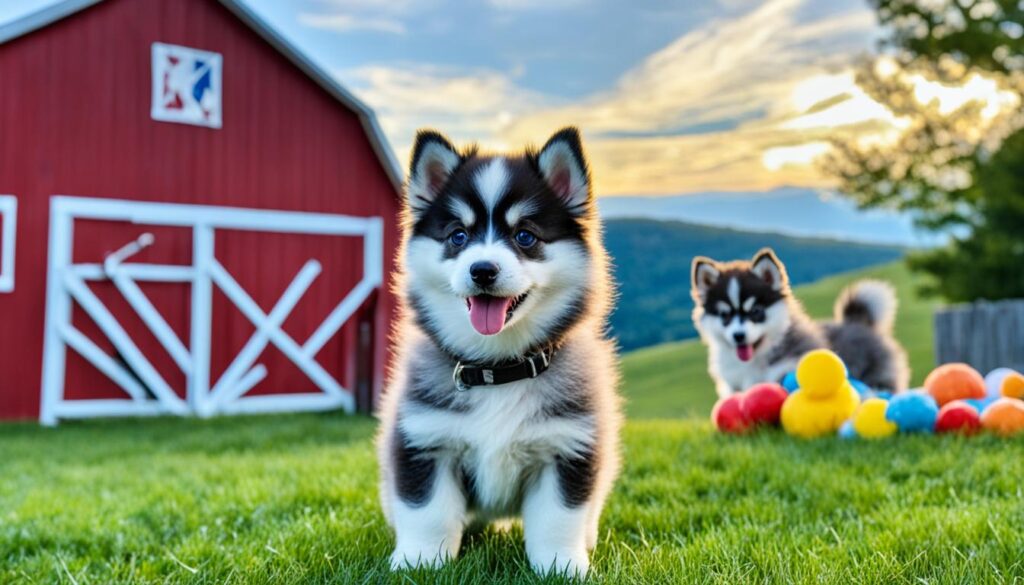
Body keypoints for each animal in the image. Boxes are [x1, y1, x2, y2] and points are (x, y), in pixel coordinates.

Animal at [374, 127, 618, 577]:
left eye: (525, 236)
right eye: (458, 236)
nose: (482, 270)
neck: (498, 370)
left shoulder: (568, 445)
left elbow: (558, 517)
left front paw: (561, 567)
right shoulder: (423, 439)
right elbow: (427, 511)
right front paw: (419, 562)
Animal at [692, 246, 909, 397]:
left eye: (756, 311)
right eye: (725, 315)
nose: (739, 336)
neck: (757, 359)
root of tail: (857, 322)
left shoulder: (787, 368)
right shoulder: (733, 384)